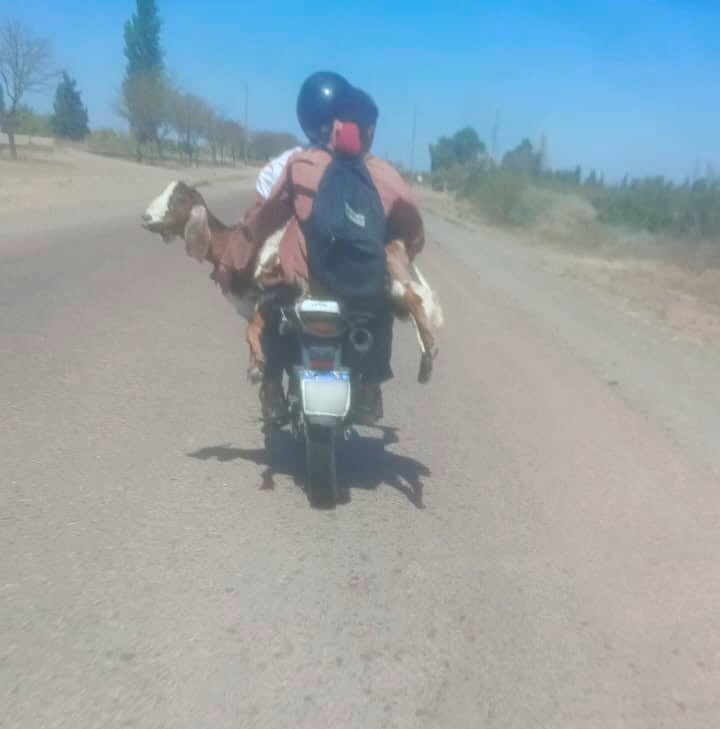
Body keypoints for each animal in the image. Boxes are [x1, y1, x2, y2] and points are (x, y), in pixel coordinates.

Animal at [141, 181, 442, 382]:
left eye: (177, 199)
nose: (145, 217)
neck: (235, 246)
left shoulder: (274, 294)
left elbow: (251, 328)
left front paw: (258, 363)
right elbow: (252, 331)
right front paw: (254, 367)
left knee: (414, 298)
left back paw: (428, 351)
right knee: (411, 301)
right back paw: (427, 357)